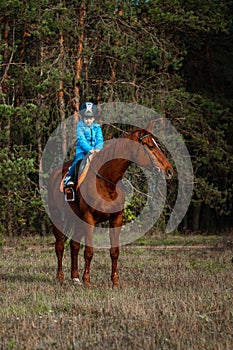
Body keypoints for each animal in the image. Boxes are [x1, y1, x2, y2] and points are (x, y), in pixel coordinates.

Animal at [48, 121, 173, 288]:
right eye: (151, 146)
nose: (169, 170)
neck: (106, 182)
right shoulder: (89, 219)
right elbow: (89, 251)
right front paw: (87, 280)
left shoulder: (116, 219)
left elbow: (114, 252)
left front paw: (115, 281)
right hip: (57, 219)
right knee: (60, 246)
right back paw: (60, 277)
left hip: (77, 220)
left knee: (74, 246)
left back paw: (75, 278)